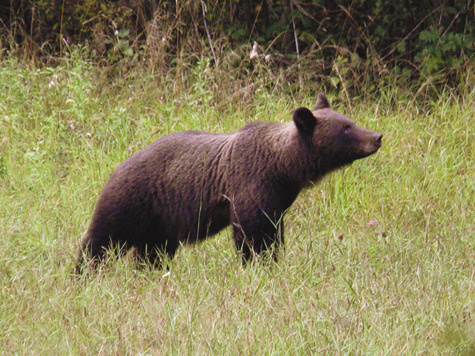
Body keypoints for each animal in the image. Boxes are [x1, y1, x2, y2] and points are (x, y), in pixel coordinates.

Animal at [74, 92, 384, 272]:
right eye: (346, 128)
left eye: (349, 120)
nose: (377, 136)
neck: (283, 167)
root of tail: (119, 164)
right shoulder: (249, 183)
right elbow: (252, 232)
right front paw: (258, 265)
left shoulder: (279, 198)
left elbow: (273, 230)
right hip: (134, 198)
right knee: (101, 238)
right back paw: (83, 273)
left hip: (161, 221)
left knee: (153, 252)